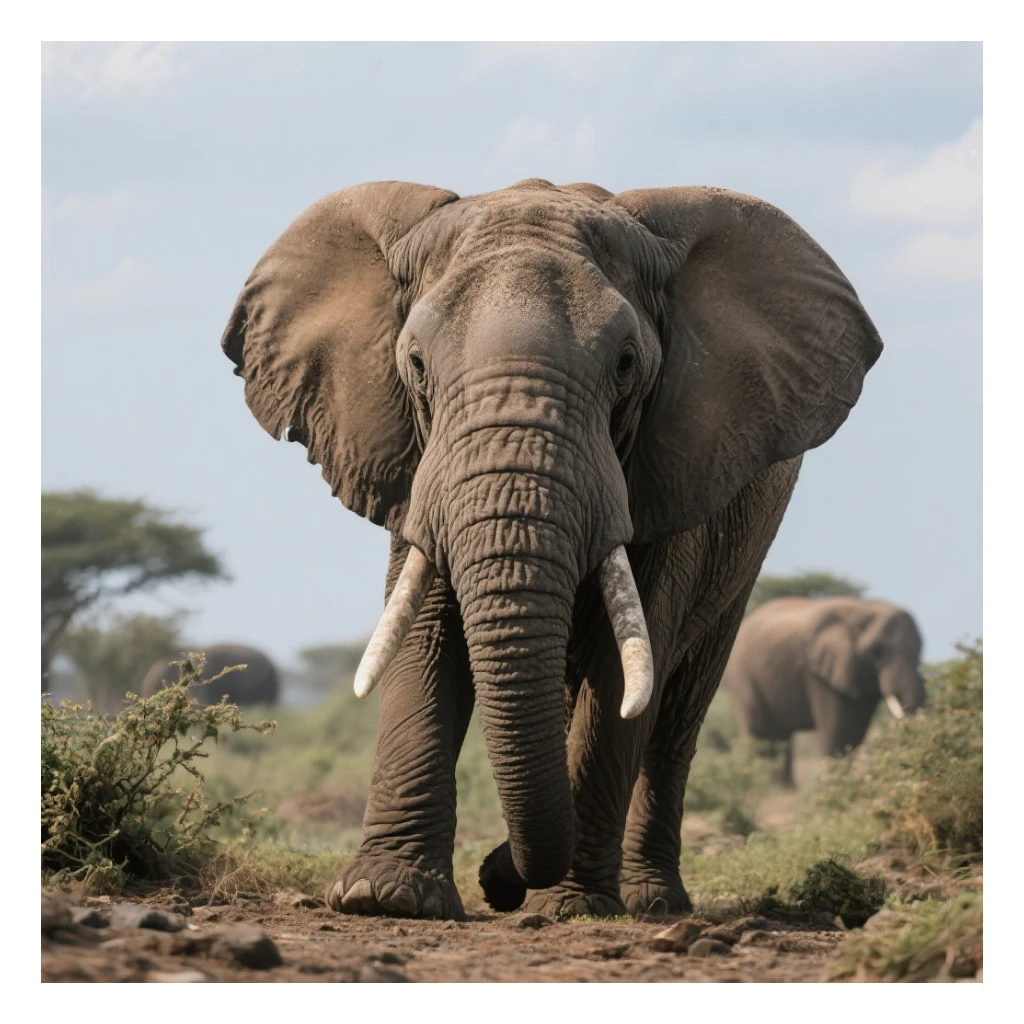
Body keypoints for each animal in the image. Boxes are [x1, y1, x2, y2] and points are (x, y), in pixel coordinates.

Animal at [220, 178, 882, 920]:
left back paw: (650, 900)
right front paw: (383, 898)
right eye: (415, 364)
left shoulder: (667, 474)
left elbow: (623, 671)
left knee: (677, 718)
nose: (500, 879)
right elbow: (423, 636)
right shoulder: (414, 464)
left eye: (626, 364)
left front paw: (567, 907)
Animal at [724, 597, 925, 787]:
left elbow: (855, 730)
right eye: (876, 652)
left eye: (920, 650)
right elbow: (837, 729)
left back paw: (783, 788)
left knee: (780, 736)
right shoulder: (818, 675)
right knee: (759, 733)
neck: (865, 608)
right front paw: (834, 784)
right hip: (743, 676)